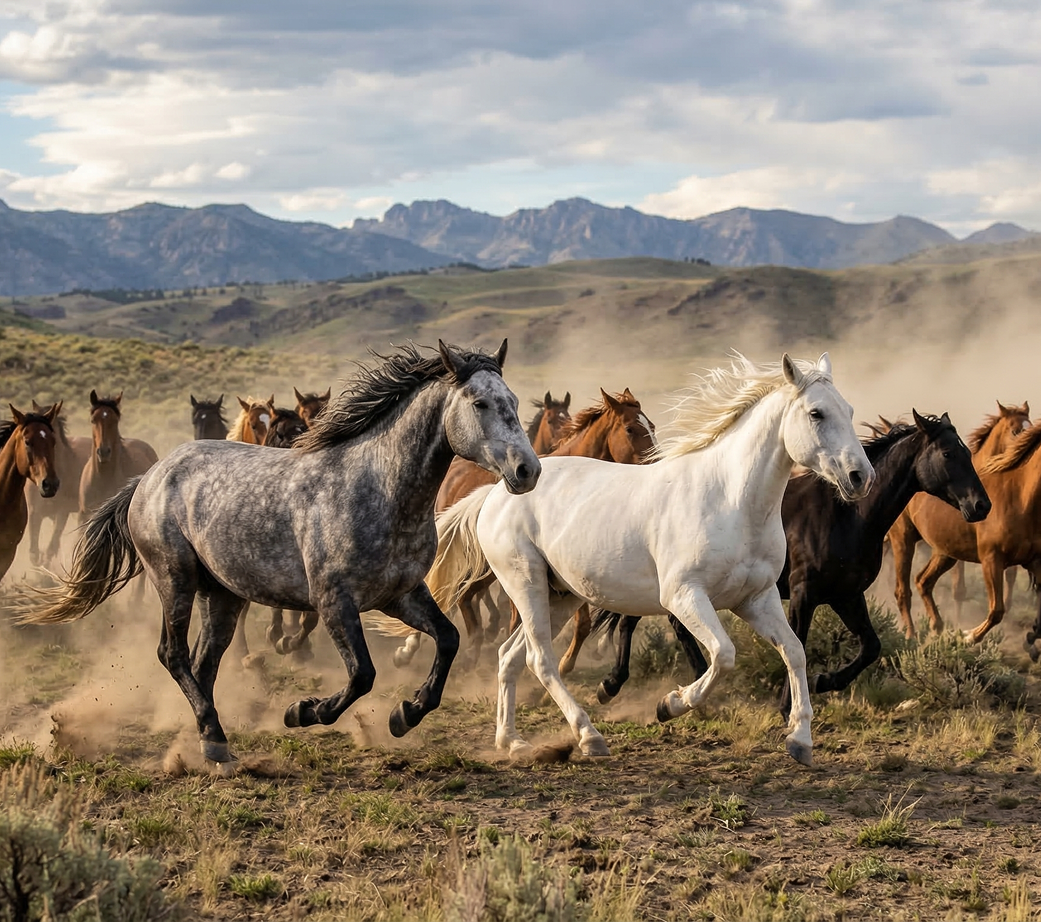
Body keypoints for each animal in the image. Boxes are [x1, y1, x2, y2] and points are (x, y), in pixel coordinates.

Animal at [392, 388, 655, 669]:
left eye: (651, 426)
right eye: (630, 429)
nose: (656, 461)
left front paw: (567, 662)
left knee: (462, 594)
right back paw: (416, 648)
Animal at [428, 353, 873, 765]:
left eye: (851, 410)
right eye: (816, 413)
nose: (861, 477)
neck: (731, 499)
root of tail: (497, 491)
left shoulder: (757, 599)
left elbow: (794, 652)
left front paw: (800, 740)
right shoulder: (684, 596)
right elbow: (724, 654)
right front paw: (669, 705)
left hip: (560, 596)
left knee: (509, 656)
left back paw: (511, 742)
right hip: (526, 583)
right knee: (541, 660)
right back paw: (588, 736)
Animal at [593, 410, 992, 715]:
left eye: (966, 451)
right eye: (947, 453)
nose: (981, 506)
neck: (847, 516)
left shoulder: (846, 595)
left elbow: (871, 646)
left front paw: (824, 680)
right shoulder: (804, 593)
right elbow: (796, 642)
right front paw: (789, 703)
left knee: (655, 622)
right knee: (637, 621)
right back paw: (616, 686)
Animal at [891, 421, 1041, 651]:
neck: (1020, 497)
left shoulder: (1034, 562)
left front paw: (1030, 642)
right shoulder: (992, 559)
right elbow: (996, 610)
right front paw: (966, 636)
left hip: (945, 552)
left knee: (923, 581)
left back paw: (937, 629)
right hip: (903, 540)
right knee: (902, 590)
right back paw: (912, 636)